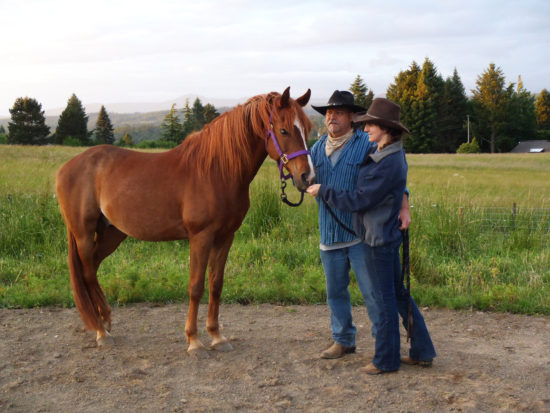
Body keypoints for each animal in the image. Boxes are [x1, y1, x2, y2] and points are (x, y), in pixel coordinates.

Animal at [57, 87, 314, 350]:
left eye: (307, 129)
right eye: (283, 130)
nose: (307, 177)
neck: (217, 171)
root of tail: (67, 168)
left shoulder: (225, 237)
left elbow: (216, 284)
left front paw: (217, 336)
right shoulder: (200, 237)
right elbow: (196, 286)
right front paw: (194, 340)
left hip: (111, 233)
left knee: (93, 267)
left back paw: (105, 319)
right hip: (83, 233)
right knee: (88, 273)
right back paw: (101, 331)